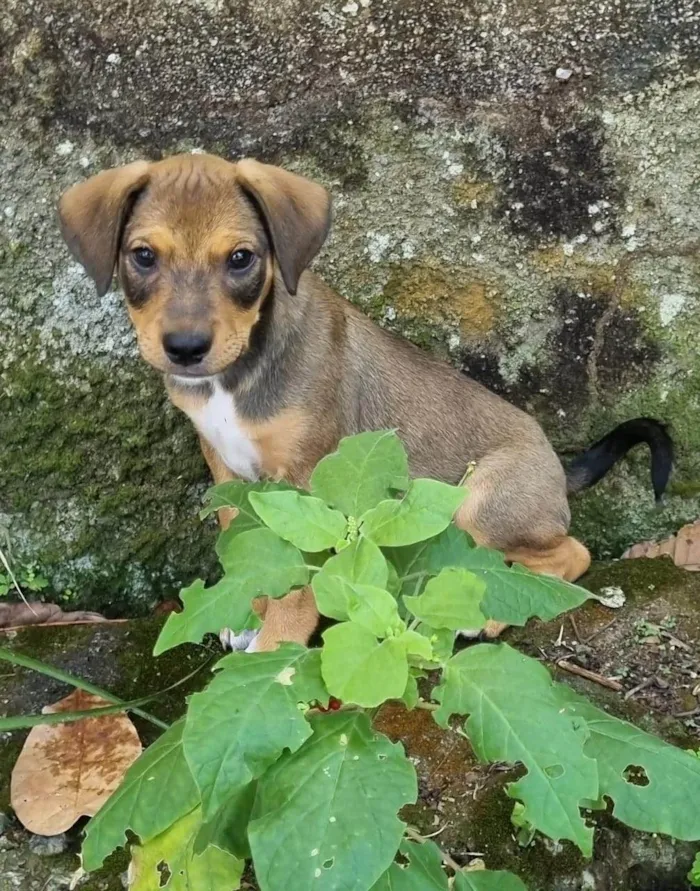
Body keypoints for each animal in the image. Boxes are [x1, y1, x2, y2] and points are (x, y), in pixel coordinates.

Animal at [60, 153, 672, 652]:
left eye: (240, 258)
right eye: (142, 256)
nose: (185, 349)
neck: (236, 376)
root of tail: (557, 468)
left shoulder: (308, 483)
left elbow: (300, 584)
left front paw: (275, 648)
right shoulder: (228, 473)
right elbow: (250, 554)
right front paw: (251, 616)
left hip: (480, 504)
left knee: (574, 554)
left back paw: (493, 613)